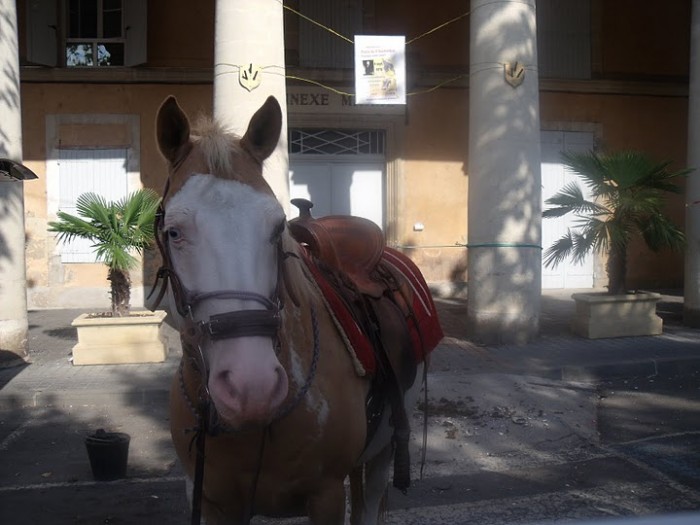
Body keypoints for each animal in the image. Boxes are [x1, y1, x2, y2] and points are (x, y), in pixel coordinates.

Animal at [153, 94, 443, 524]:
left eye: (277, 228)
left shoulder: (325, 496)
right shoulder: (211, 500)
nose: (251, 386)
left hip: (385, 448)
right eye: (174, 231)